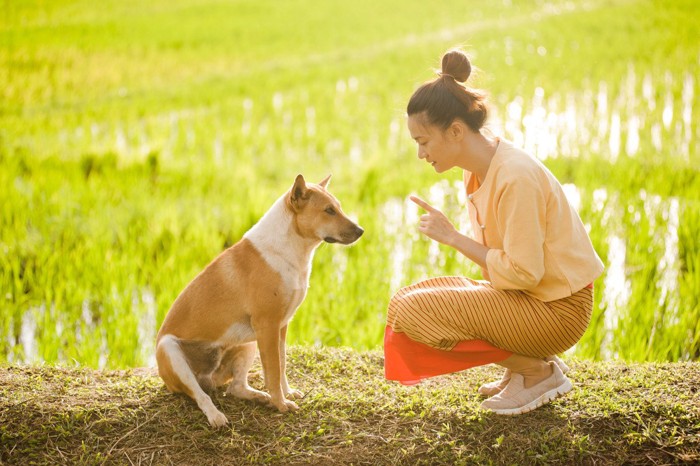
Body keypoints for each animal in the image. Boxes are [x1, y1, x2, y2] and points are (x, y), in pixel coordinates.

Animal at [156, 174, 364, 426]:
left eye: (338, 207)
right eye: (329, 210)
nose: (361, 231)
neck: (289, 250)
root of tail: (207, 377)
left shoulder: (281, 326)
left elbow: (281, 365)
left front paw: (285, 394)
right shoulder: (268, 325)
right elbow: (273, 370)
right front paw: (281, 404)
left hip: (246, 343)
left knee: (236, 388)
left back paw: (260, 397)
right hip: (170, 351)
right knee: (200, 395)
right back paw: (216, 416)